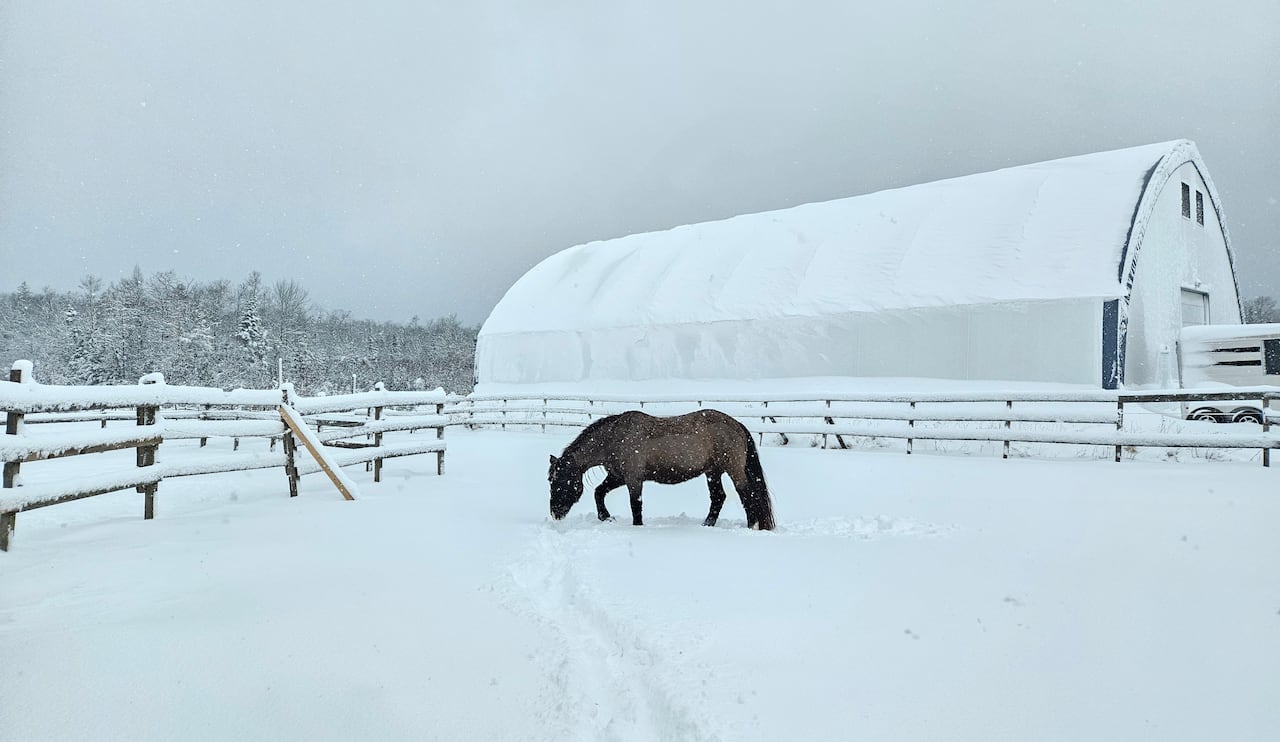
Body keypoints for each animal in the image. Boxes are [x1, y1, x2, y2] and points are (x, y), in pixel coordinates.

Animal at [547, 409, 776, 530]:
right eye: (551, 480)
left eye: (560, 481)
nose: (555, 513)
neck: (615, 438)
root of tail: (737, 425)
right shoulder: (617, 476)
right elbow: (598, 492)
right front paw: (606, 518)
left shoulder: (633, 480)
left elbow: (636, 506)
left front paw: (637, 527)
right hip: (713, 472)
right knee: (719, 497)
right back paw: (706, 525)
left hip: (733, 470)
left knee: (747, 494)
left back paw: (751, 525)